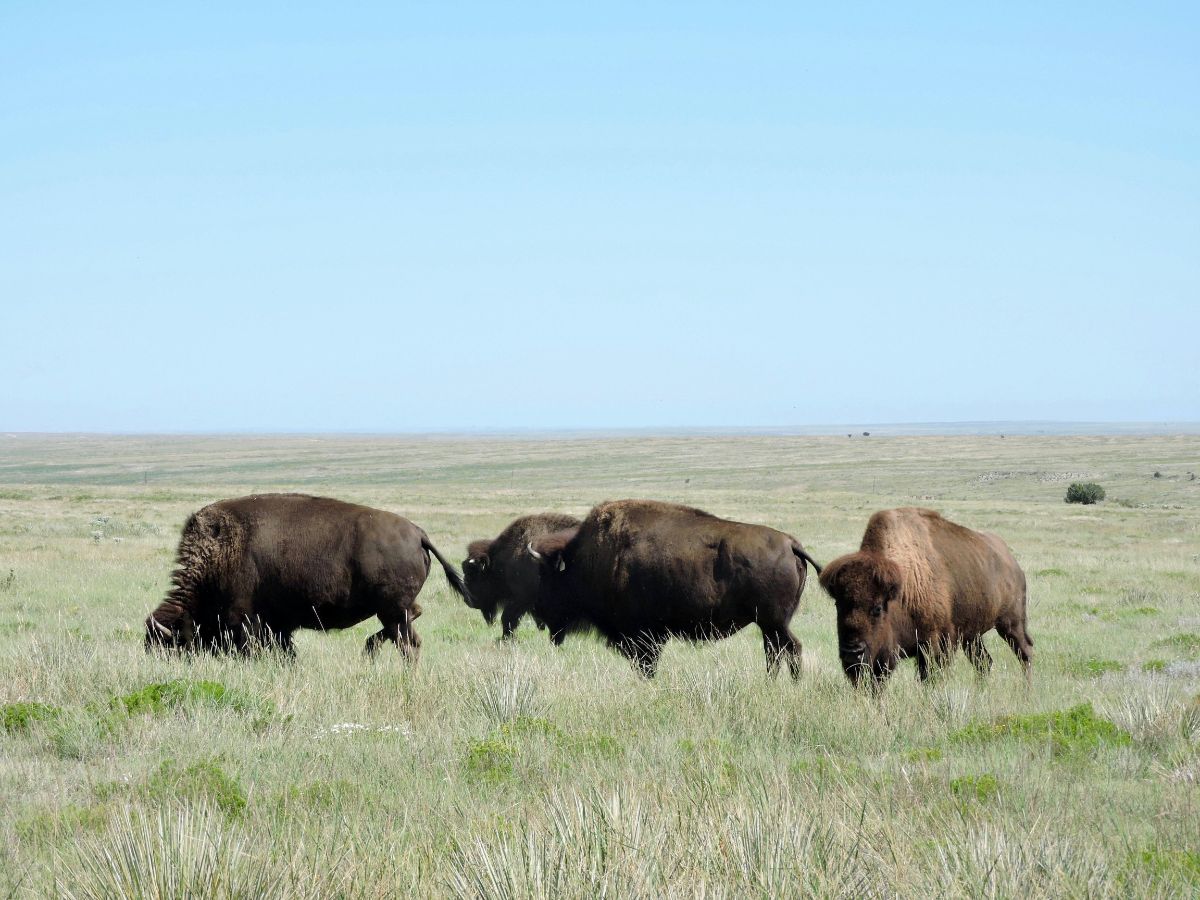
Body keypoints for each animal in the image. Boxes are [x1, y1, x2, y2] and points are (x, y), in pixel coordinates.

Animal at [142, 494, 470, 662]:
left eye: (170, 645)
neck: (221, 553)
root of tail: (418, 534)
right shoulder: (278, 626)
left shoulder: (248, 622)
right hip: (393, 609)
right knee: (409, 623)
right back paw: (369, 650)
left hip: (392, 609)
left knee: (407, 642)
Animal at [528, 501, 820, 676]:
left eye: (547, 576)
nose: (539, 615)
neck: (587, 559)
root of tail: (789, 543)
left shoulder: (643, 636)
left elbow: (646, 664)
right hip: (768, 625)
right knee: (775, 652)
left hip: (774, 622)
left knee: (791, 649)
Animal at [820, 511, 1036, 686]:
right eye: (838, 605)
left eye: (877, 608)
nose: (851, 653)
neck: (903, 589)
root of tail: (1013, 564)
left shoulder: (935, 643)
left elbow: (930, 678)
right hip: (972, 636)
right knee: (984, 662)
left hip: (1011, 623)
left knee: (1024, 652)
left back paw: (1026, 690)